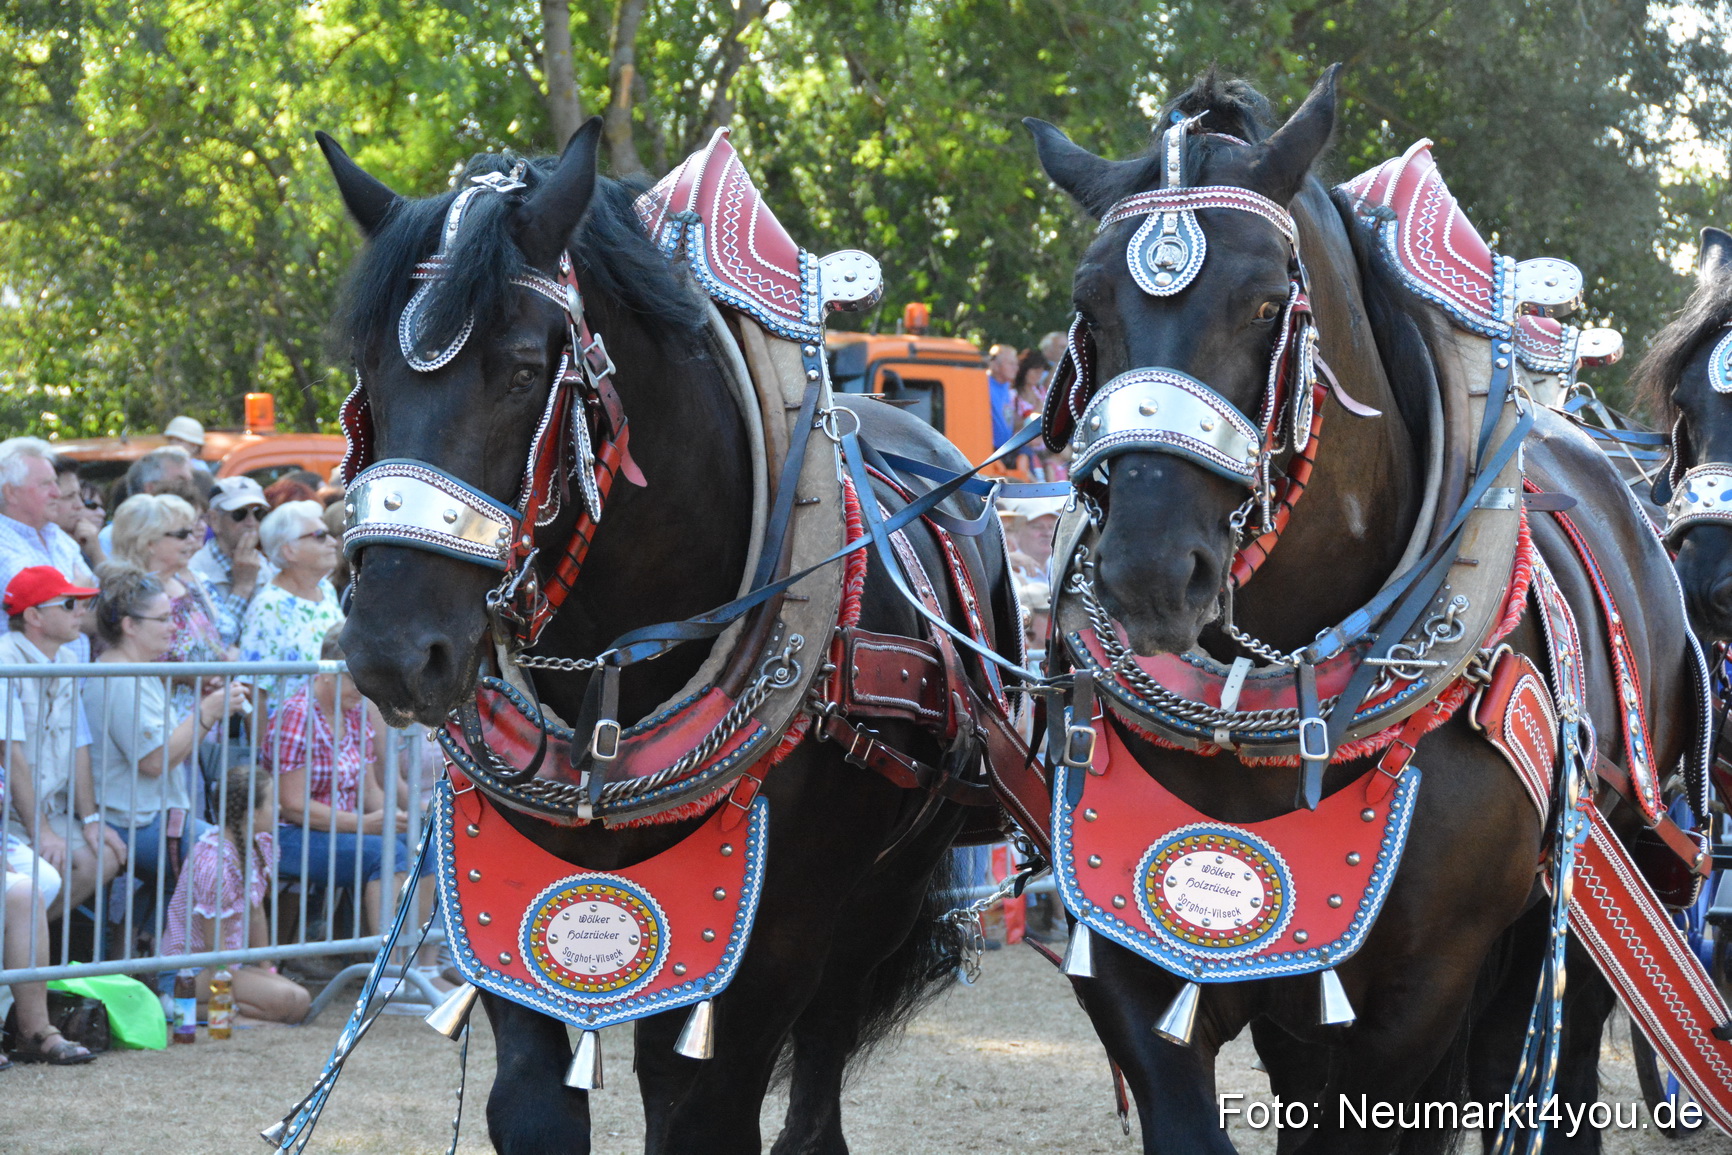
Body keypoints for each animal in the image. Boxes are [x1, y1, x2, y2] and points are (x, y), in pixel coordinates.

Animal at [317, 119, 1023, 1155]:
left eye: (521, 367)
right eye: (369, 375)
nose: (392, 650)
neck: (613, 680)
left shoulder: (776, 933)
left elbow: (703, 1108)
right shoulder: (506, 888)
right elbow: (532, 1104)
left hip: (882, 894)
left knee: (815, 1077)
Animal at [1024, 68, 1700, 1153]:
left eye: (1267, 302)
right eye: (1091, 304)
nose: (1147, 571)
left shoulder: (1421, 990)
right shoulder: (1130, 951)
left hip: (1597, 890)